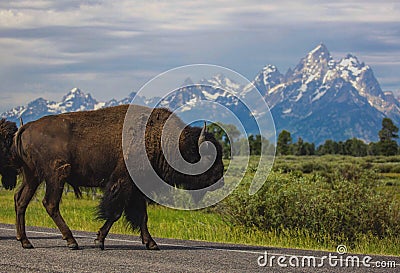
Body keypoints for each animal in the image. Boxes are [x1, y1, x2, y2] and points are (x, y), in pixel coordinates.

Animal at [0, 104, 225, 249]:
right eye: (207, 156)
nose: (221, 176)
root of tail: (25, 127)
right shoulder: (122, 183)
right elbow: (115, 213)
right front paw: (99, 240)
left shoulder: (136, 190)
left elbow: (142, 216)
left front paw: (152, 243)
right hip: (56, 175)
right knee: (50, 204)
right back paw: (71, 241)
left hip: (32, 176)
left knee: (21, 200)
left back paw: (26, 242)